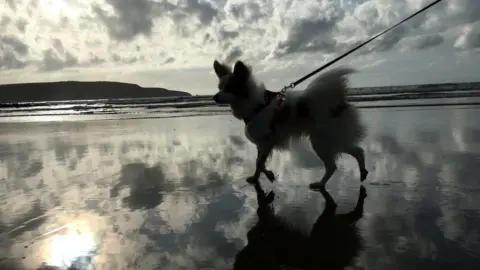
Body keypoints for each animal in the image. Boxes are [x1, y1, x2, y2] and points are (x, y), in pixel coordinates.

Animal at [213, 60, 368, 189]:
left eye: (229, 88)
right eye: (219, 87)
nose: (214, 97)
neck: (257, 106)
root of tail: (339, 103)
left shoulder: (267, 142)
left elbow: (259, 162)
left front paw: (267, 175)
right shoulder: (262, 144)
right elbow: (259, 162)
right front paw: (259, 177)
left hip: (322, 142)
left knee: (332, 166)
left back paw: (320, 184)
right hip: (332, 139)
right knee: (358, 151)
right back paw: (363, 172)